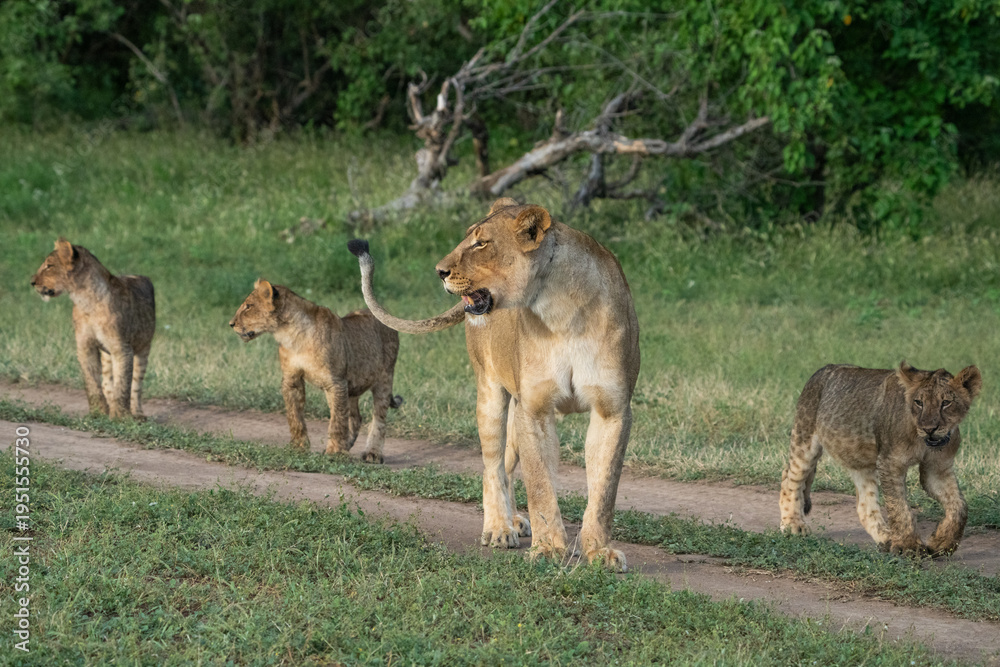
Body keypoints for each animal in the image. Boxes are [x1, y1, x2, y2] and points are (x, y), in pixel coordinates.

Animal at [30, 238, 155, 419]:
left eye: (49, 266)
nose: (32, 282)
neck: (85, 301)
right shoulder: (85, 346)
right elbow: (92, 383)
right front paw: (98, 413)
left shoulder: (122, 348)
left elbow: (123, 385)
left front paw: (122, 417)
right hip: (107, 355)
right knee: (107, 383)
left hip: (144, 349)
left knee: (136, 385)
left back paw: (137, 414)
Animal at [229, 279, 402, 463]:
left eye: (248, 306)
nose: (231, 324)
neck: (291, 335)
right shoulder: (292, 379)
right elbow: (295, 416)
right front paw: (298, 447)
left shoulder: (336, 382)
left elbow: (337, 421)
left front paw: (335, 452)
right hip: (352, 386)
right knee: (355, 417)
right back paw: (347, 444)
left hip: (383, 378)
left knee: (379, 418)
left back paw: (372, 453)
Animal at [348, 198, 640, 571]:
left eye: (481, 243)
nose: (439, 271)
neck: (563, 312)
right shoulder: (535, 408)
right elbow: (540, 485)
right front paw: (548, 549)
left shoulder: (612, 410)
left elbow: (603, 490)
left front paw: (598, 551)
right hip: (490, 394)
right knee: (492, 466)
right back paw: (499, 528)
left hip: (515, 405)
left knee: (509, 465)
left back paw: (514, 520)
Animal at [780, 361, 982, 556]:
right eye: (919, 402)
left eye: (946, 402)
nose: (929, 429)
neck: (922, 440)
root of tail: (821, 370)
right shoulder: (890, 462)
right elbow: (899, 507)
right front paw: (908, 547)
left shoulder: (937, 468)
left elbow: (959, 507)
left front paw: (941, 544)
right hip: (804, 440)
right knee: (789, 479)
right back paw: (793, 525)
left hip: (860, 461)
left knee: (864, 506)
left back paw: (887, 539)